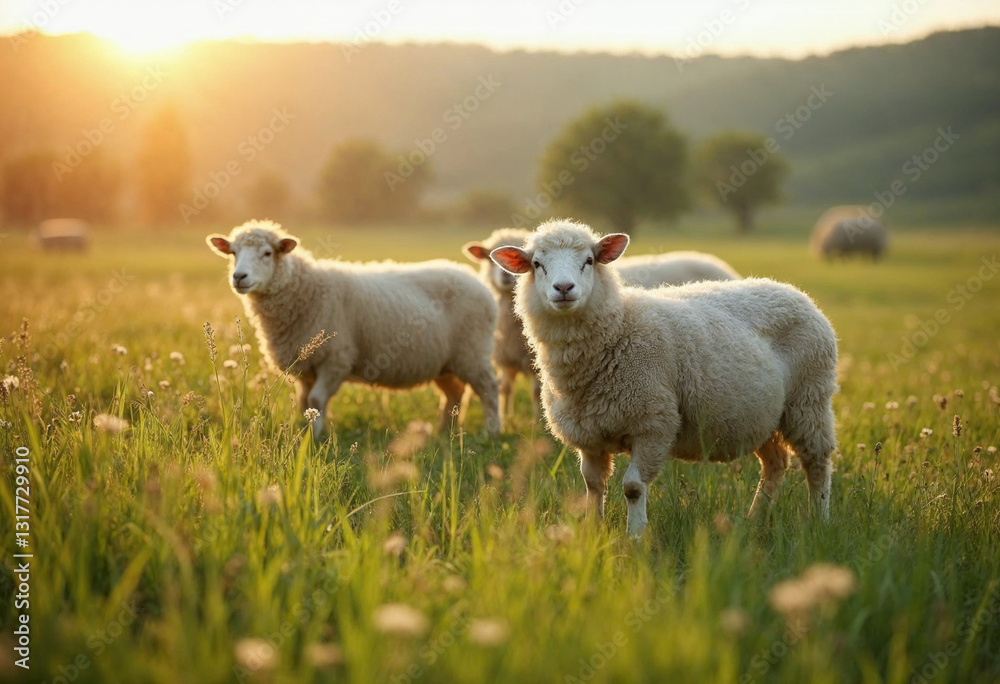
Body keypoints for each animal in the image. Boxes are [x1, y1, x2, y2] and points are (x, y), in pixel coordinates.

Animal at [208, 220, 500, 439]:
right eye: (233, 253)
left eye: (267, 253)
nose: (239, 277)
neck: (305, 291)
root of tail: (476, 281)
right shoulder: (305, 365)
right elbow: (305, 402)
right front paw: (308, 432)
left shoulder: (336, 358)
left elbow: (316, 400)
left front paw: (315, 438)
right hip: (445, 362)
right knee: (455, 394)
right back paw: (443, 432)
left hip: (472, 351)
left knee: (489, 387)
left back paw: (492, 431)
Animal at [464, 230, 740, 419]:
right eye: (536, 264)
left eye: (589, 260)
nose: (506, 276)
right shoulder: (506, 358)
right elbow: (505, 389)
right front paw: (507, 419)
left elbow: (533, 393)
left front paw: (535, 424)